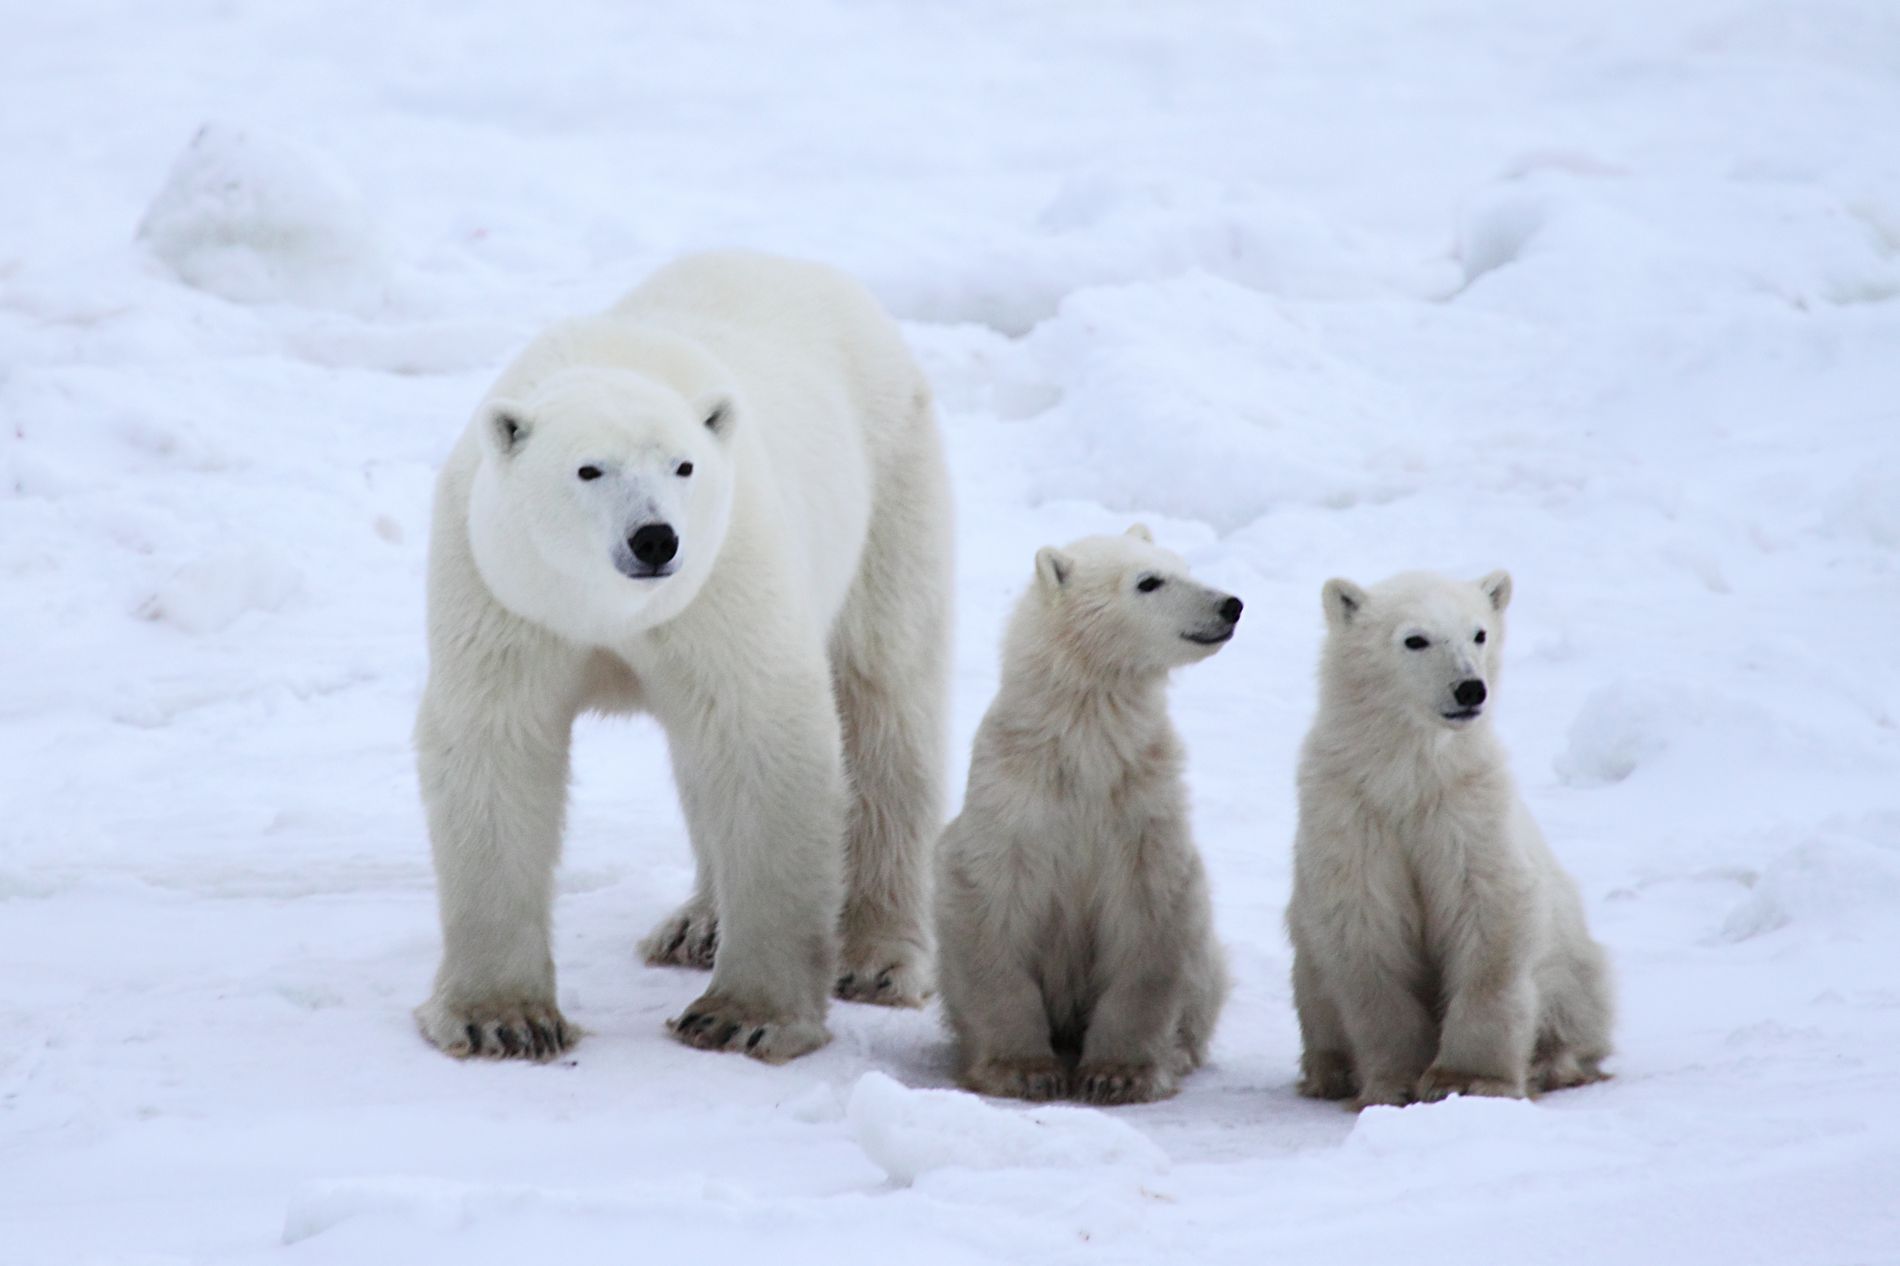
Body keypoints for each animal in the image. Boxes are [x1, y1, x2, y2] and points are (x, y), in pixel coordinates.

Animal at [414, 247, 950, 1056]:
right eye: (589, 469)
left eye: (684, 467)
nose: (655, 539)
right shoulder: (501, 593)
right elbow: (496, 749)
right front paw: (502, 1020)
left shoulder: (725, 574)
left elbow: (763, 735)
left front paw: (743, 1016)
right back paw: (694, 924)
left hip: (890, 486)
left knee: (884, 706)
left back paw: (877, 958)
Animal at [931, 528, 1231, 1102]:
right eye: (1148, 582)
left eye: (1183, 566)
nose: (1230, 604)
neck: (1084, 741)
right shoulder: (1014, 800)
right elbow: (993, 914)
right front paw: (1023, 1069)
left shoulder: (1143, 805)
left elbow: (1149, 923)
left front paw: (1118, 1074)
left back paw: (1179, 1051)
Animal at [1284, 566, 1611, 1102]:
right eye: (1415, 639)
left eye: (1479, 633)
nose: (1470, 689)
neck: (1408, 777)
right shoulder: (1352, 812)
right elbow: (1367, 932)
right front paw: (1394, 1082)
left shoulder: (1465, 807)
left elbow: (1487, 917)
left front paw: (1467, 1079)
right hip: (1309, 978)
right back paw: (1330, 1072)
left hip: (1575, 970)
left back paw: (1552, 1062)